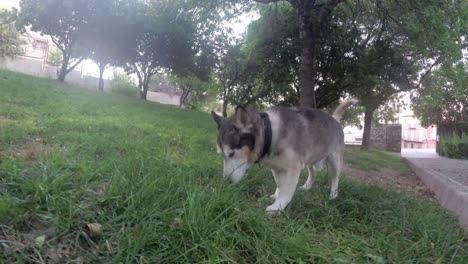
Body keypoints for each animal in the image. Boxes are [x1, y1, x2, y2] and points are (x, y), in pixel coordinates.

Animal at [212, 99, 358, 212]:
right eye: (221, 155)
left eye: (231, 154)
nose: (226, 182)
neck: (270, 133)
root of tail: (334, 119)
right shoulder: (277, 168)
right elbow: (280, 184)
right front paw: (276, 196)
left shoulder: (294, 167)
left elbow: (287, 190)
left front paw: (278, 207)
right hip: (310, 159)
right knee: (313, 173)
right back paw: (307, 187)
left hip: (335, 159)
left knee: (335, 177)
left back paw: (333, 194)